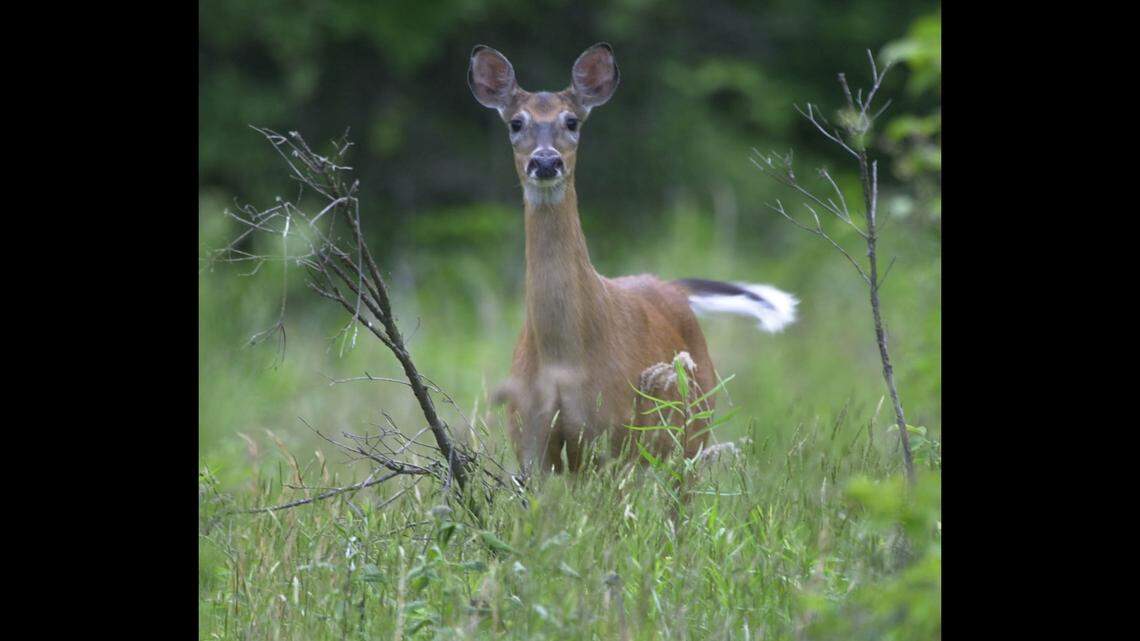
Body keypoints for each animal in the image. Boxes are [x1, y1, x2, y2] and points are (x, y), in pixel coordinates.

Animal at [468, 43, 798, 476]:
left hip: (691, 431)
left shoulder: (612, 434)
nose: (545, 162)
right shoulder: (530, 439)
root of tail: (670, 286)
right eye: (515, 123)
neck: (564, 359)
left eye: (572, 121)